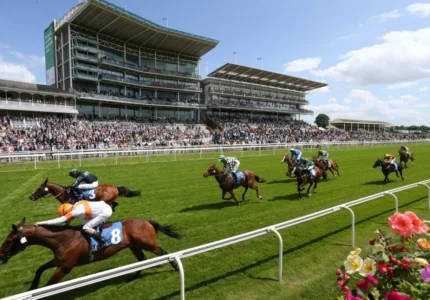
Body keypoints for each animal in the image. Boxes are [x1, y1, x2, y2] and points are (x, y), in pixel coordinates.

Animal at [0, 217, 182, 290]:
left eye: (9, 240)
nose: (1, 257)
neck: (62, 239)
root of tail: (146, 221)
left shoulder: (65, 267)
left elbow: (50, 284)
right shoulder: (59, 260)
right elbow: (40, 269)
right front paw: (32, 286)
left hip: (148, 244)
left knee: (163, 252)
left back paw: (175, 266)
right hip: (134, 246)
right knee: (142, 259)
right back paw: (132, 277)